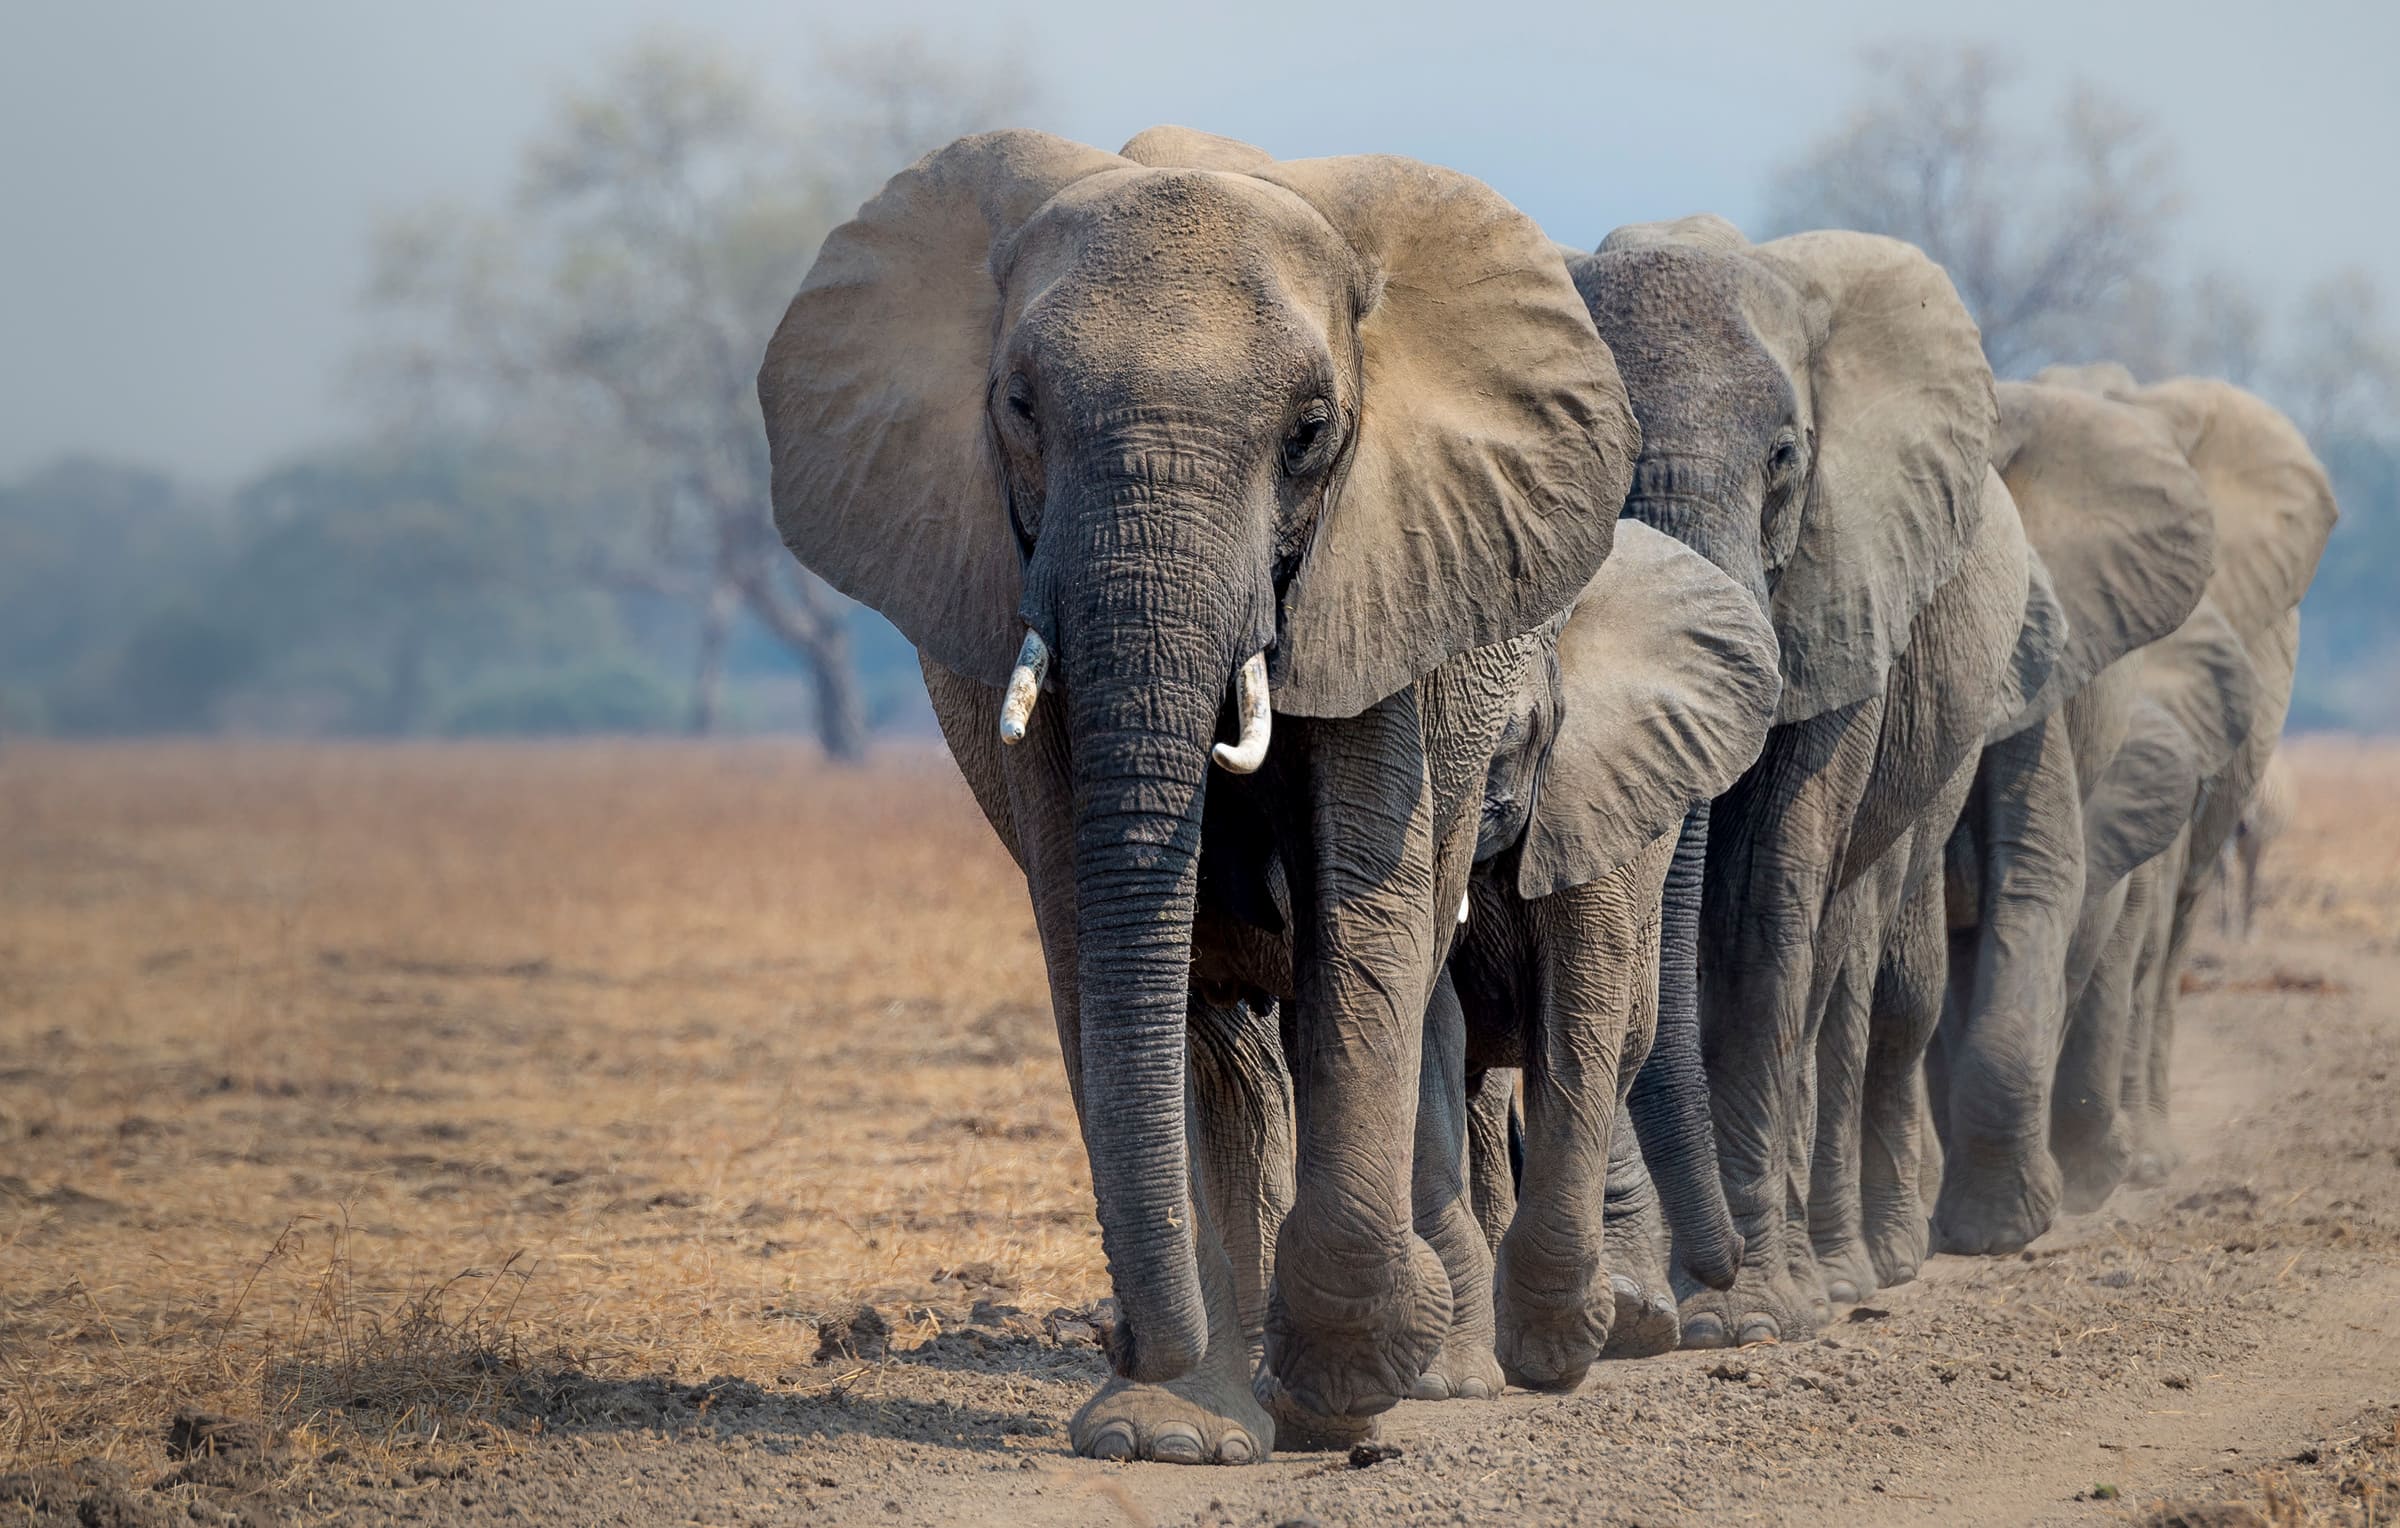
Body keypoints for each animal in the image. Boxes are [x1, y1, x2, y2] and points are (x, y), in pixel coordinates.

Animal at [758, 131, 1641, 1468]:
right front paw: (1162, 1433)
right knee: (1214, 1034)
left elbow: (1364, 927)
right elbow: (1102, 941)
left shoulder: (1380, 573)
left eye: (1311, 431)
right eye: (1020, 408)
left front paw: (1343, 1388)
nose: (1127, 1338)